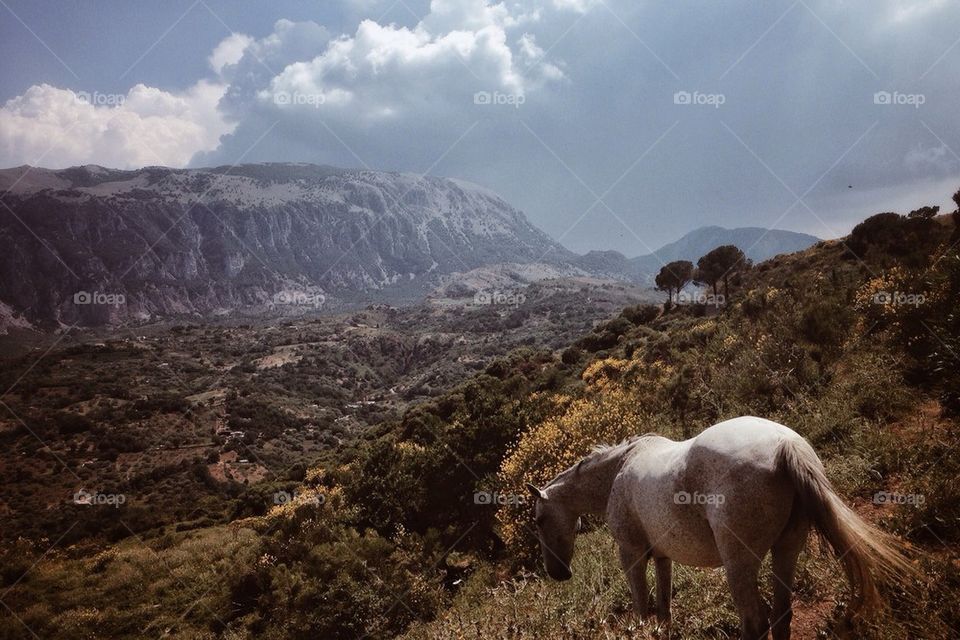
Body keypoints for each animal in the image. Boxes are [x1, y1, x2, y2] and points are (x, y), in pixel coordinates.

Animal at [528, 416, 912, 640]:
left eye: (539, 520)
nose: (558, 573)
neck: (619, 470)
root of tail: (785, 445)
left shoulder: (632, 555)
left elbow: (642, 608)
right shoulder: (662, 557)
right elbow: (664, 610)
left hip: (738, 563)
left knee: (755, 622)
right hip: (786, 550)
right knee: (781, 615)